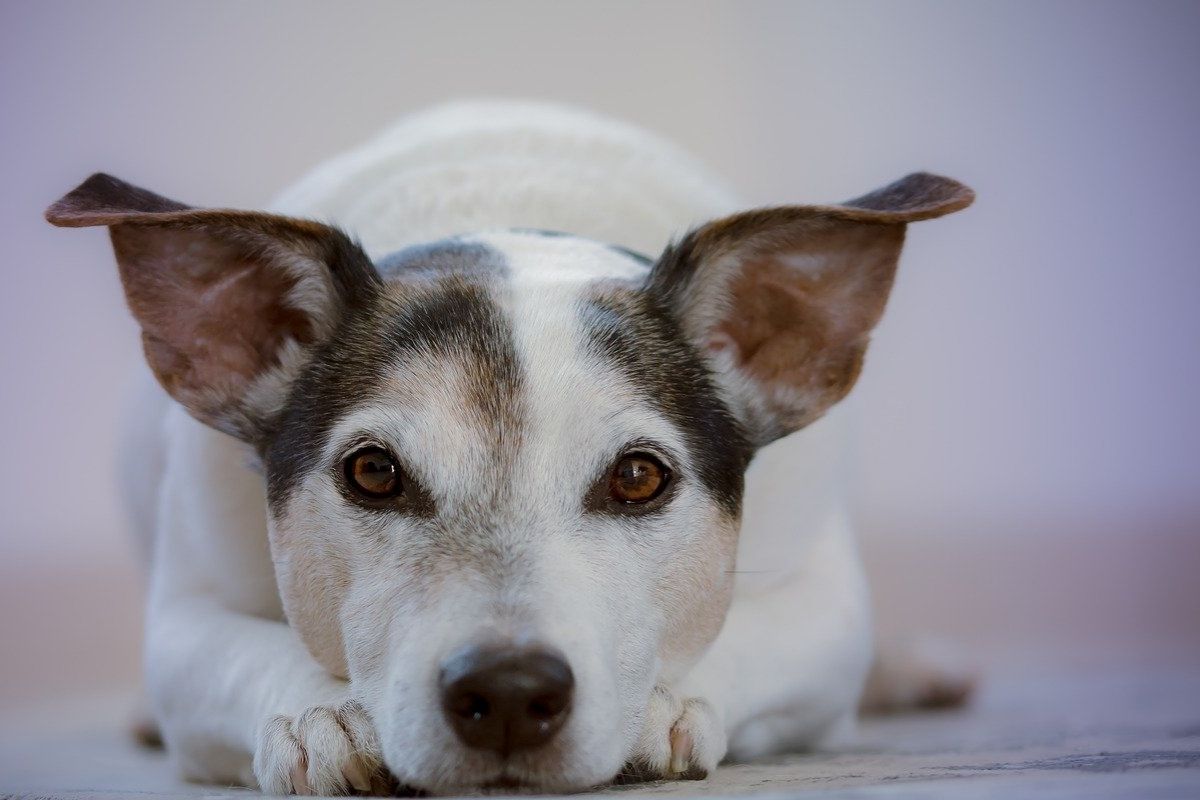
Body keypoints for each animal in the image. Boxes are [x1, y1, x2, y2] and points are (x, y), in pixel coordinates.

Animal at [46, 101, 974, 796]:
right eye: (372, 472)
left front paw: (660, 705)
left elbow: (751, 635)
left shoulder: (826, 606)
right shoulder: (185, 615)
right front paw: (323, 713)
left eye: (639, 477)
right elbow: (238, 653)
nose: (508, 691)